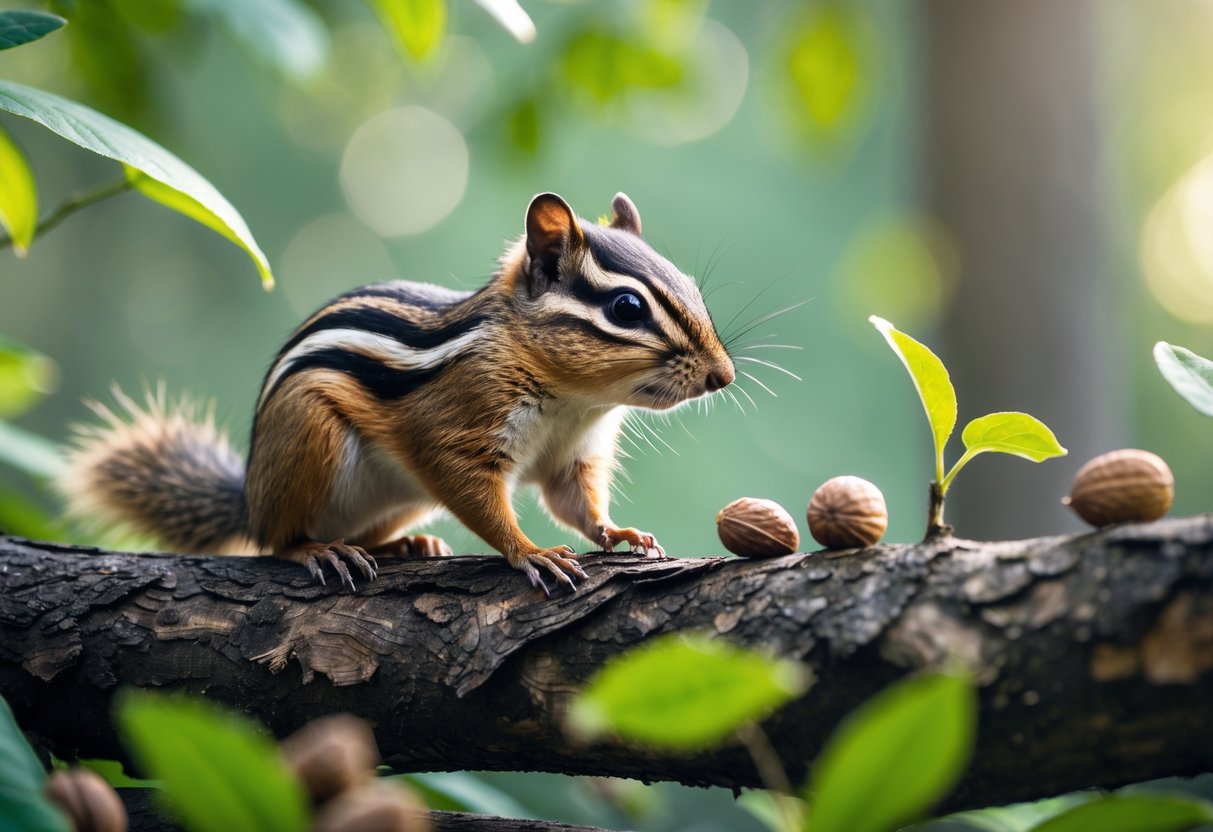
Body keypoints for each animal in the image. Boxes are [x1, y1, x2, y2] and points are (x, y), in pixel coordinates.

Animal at [62, 192, 735, 594]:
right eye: (626, 308)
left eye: (691, 286)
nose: (722, 375)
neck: (575, 399)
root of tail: (250, 497)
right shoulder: (456, 428)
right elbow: (478, 495)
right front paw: (530, 551)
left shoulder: (575, 453)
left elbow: (578, 503)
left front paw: (621, 534)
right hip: (309, 434)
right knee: (277, 540)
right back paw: (319, 551)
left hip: (398, 493)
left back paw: (407, 543)